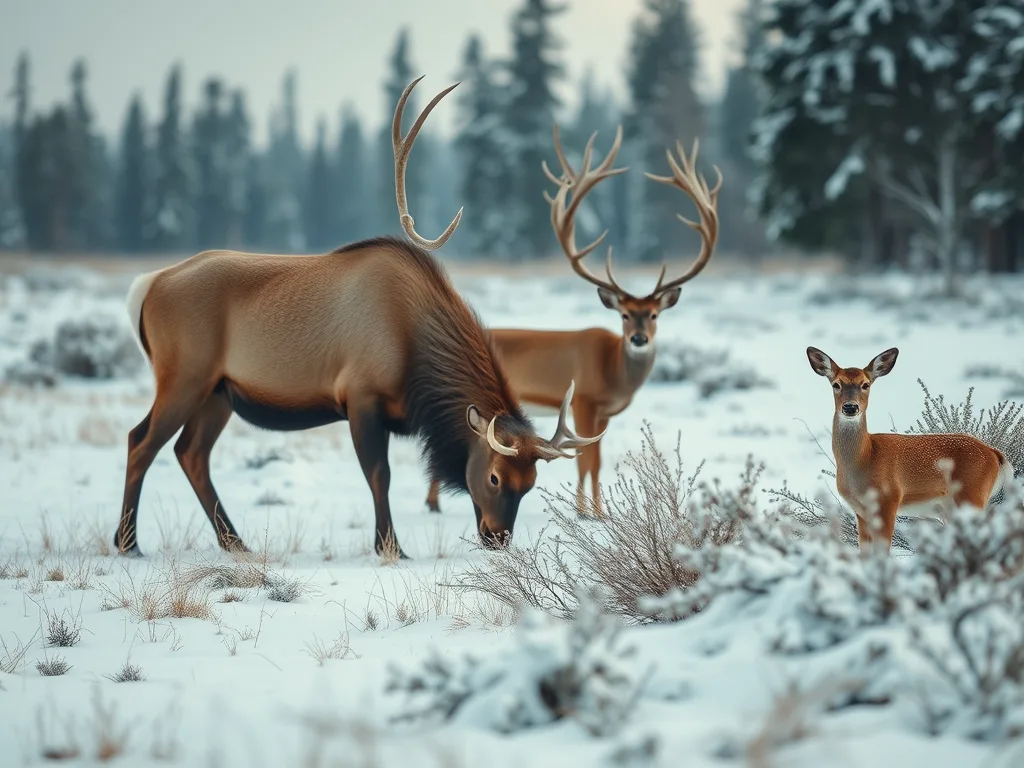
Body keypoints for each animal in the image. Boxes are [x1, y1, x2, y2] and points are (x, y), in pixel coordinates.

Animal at [114, 76, 602, 559]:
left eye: (530, 483)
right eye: (495, 476)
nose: (498, 538)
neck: (415, 359)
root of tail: (147, 286)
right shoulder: (361, 395)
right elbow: (378, 474)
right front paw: (390, 547)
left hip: (220, 391)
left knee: (191, 453)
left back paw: (235, 543)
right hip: (184, 375)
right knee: (140, 440)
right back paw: (128, 543)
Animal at [425, 125, 721, 517]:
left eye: (654, 314)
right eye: (624, 314)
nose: (639, 339)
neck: (614, 371)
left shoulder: (604, 414)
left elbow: (596, 460)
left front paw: (600, 510)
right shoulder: (583, 401)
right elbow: (585, 460)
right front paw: (586, 512)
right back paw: (433, 503)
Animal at [806, 346, 1014, 554]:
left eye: (865, 384)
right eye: (836, 384)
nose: (850, 407)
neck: (865, 458)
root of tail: (994, 453)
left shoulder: (889, 499)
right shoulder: (861, 511)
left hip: (972, 495)